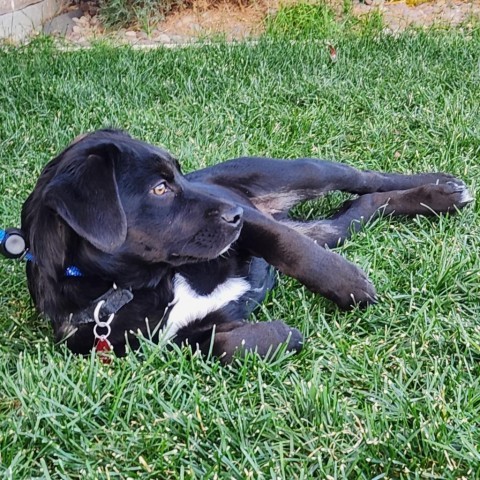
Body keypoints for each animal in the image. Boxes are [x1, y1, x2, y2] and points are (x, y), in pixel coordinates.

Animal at [22, 129, 472, 362]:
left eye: (178, 176)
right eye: (160, 188)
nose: (234, 213)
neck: (143, 284)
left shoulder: (249, 224)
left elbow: (284, 245)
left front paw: (347, 284)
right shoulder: (165, 341)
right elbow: (218, 344)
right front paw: (282, 334)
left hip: (303, 172)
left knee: (366, 180)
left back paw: (441, 188)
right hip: (329, 227)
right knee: (361, 207)